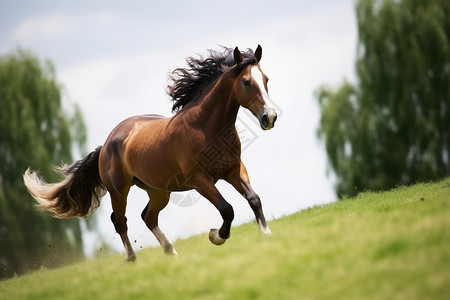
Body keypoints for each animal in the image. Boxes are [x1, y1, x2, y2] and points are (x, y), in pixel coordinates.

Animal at [25, 45, 278, 262]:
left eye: (266, 79)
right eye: (246, 81)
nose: (270, 117)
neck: (205, 127)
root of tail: (106, 144)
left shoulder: (234, 170)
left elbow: (253, 199)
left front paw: (266, 234)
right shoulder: (200, 180)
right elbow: (227, 209)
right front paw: (215, 236)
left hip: (158, 191)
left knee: (148, 217)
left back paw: (170, 251)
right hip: (119, 191)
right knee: (120, 220)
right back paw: (132, 258)